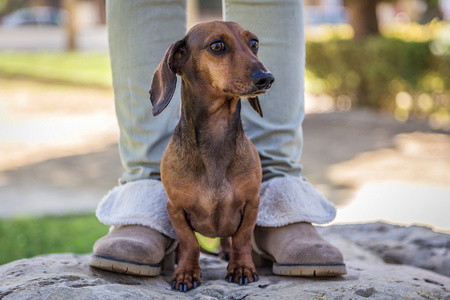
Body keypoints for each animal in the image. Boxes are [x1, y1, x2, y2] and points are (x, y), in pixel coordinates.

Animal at [150, 20, 274, 290]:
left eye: (254, 43)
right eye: (217, 46)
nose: (267, 78)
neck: (216, 135)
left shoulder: (252, 203)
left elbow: (242, 238)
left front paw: (241, 267)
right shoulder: (175, 207)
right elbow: (190, 243)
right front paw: (186, 272)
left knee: (228, 238)